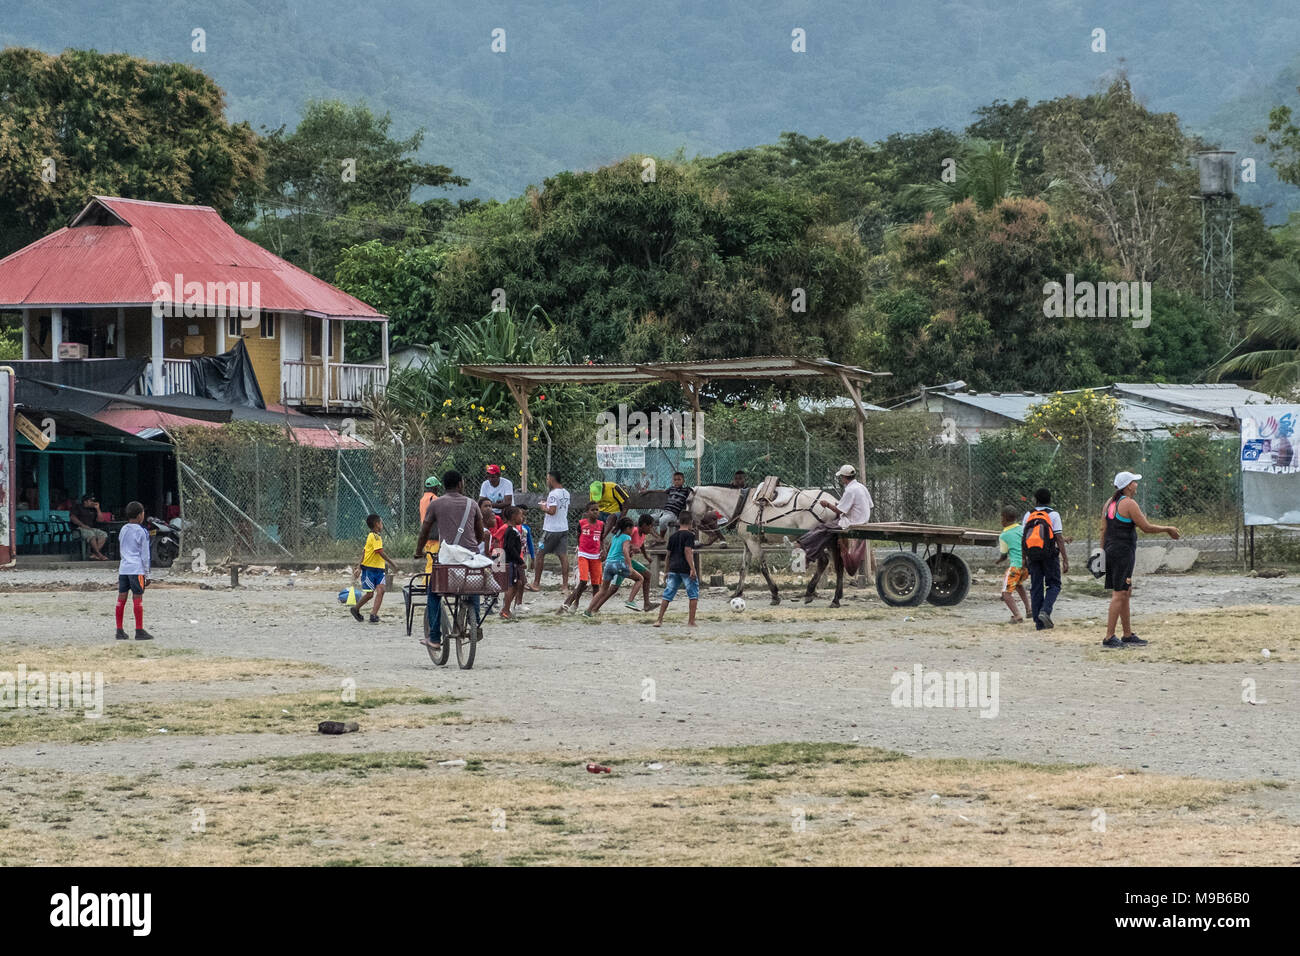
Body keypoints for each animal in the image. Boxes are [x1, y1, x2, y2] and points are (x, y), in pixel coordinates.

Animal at [691, 486, 842, 606]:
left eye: (688, 501)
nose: (690, 524)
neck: (742, 505)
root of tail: (834, 502)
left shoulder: (753, 542)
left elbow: (763, 568)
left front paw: (775, 595)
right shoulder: (747, 543)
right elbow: (743, 569)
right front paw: (736, 593)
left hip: (814, 538)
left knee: (824, 561)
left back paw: (811, 592)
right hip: (831, 540)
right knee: (838, 564)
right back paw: (835, 597)